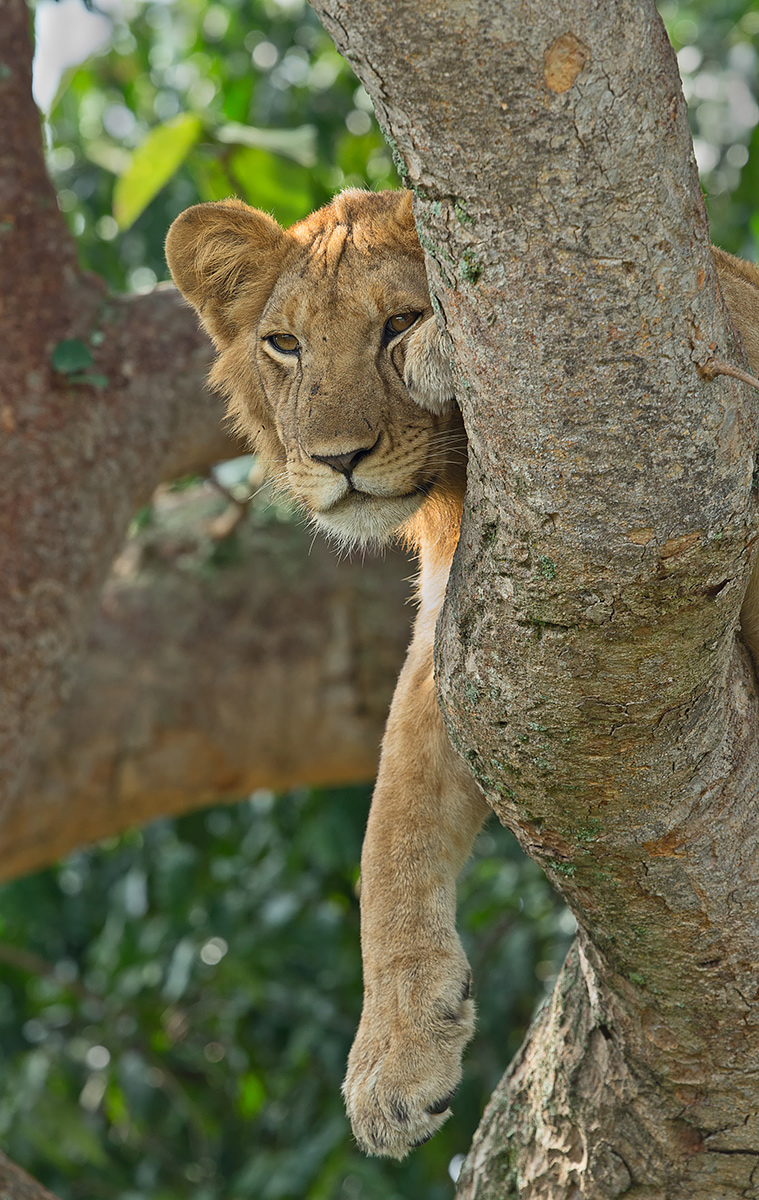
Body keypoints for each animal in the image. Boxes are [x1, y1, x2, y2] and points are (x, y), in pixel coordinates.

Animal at [166, 188, 759, 1159]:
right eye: (284, 343)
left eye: (395, 321)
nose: (337, 460)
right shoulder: (467, 637)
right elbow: (392, 827)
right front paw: (395, 1054)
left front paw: (444, 343)